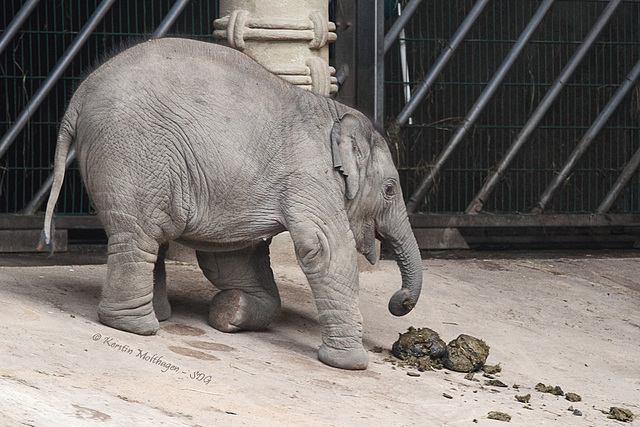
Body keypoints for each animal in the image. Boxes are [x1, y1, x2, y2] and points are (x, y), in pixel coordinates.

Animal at [38, 37, 420, 372]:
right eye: (389, 190)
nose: (399, 301)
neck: (338, 116)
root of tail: (77, 99)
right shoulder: (310, 176)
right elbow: (324, 249)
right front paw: (350, 365)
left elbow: (233, 255)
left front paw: (229, 312)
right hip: (133, 151)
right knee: (140, 234)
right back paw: (137, 327)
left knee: (152, 234)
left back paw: (158, 315)